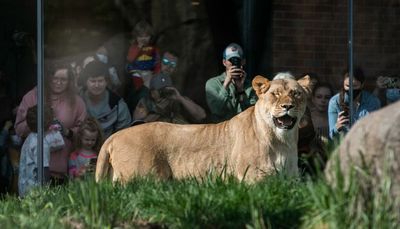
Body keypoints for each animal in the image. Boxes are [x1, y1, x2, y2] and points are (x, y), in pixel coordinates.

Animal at [95, 75, 314, 182]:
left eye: (296, 94)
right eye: (275, 94)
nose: (287, 106)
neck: (281, 141)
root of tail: (114, 136)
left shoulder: (291, 179)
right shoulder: (252, 178)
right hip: (145, 179)